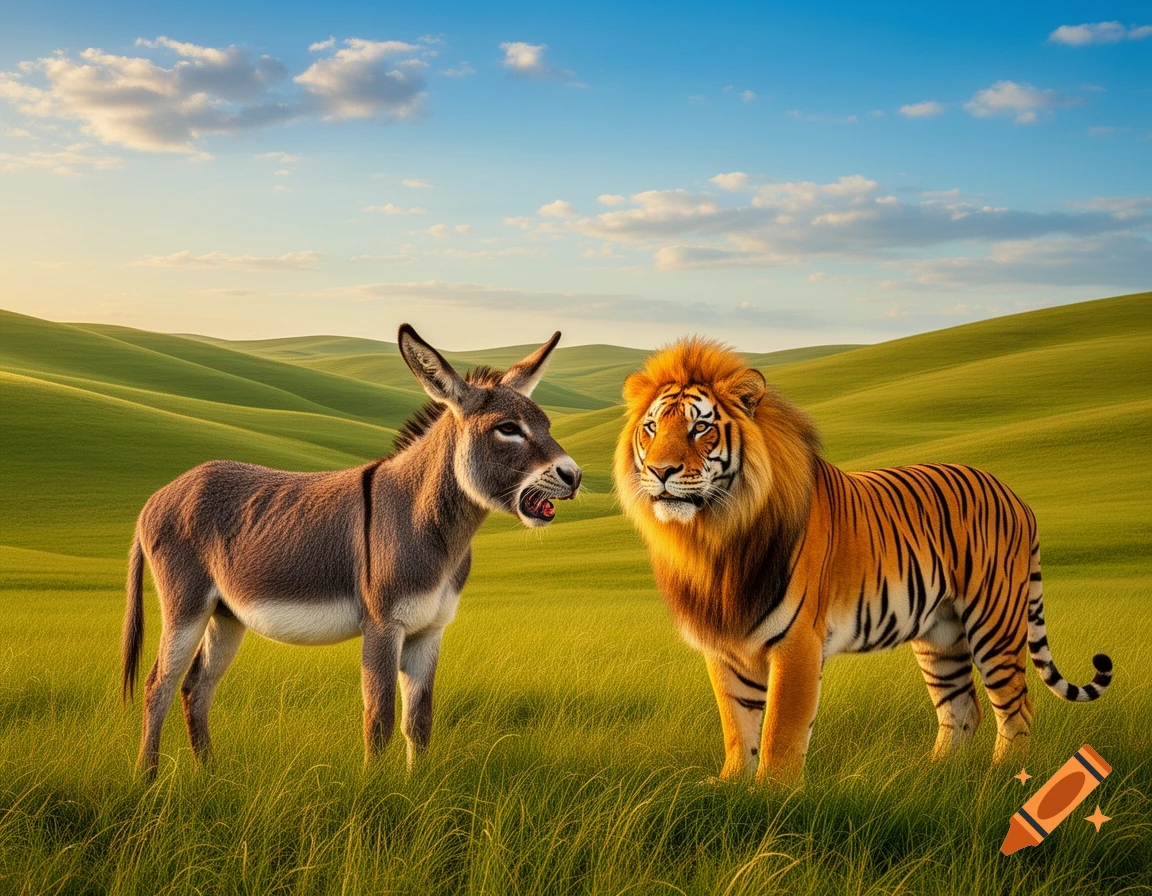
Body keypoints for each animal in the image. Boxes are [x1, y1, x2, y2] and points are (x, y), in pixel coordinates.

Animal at [613, 337, 1113, 784]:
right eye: (652, 428)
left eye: (700, 427)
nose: (660, 471)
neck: (712, 536)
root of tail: (1017, 497)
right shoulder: (726, 642)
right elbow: (738, 726)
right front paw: (731, 784)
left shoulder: (797, 642)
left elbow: (780, 731)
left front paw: (771, 796)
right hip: (941, 636)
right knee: (961, 707)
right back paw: (935, 775)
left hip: (995, 625)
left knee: (1016, 707)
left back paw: (1003, 776)